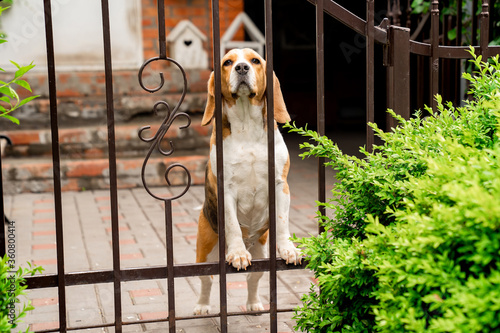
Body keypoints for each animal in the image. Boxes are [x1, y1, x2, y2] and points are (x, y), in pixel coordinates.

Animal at [193, 47, 298, 314]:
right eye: (227, 62)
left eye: (255, 60)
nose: (241, 68)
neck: (247, 127)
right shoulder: (226, 190)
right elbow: (232, 225)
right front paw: (238, 253)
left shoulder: (281, 185)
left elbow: (282, 222)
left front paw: (288, 248)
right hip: (204, 251)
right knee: (206, 280)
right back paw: (202, 305)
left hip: (260, 249)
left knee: (254, 277)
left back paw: (253, 303)